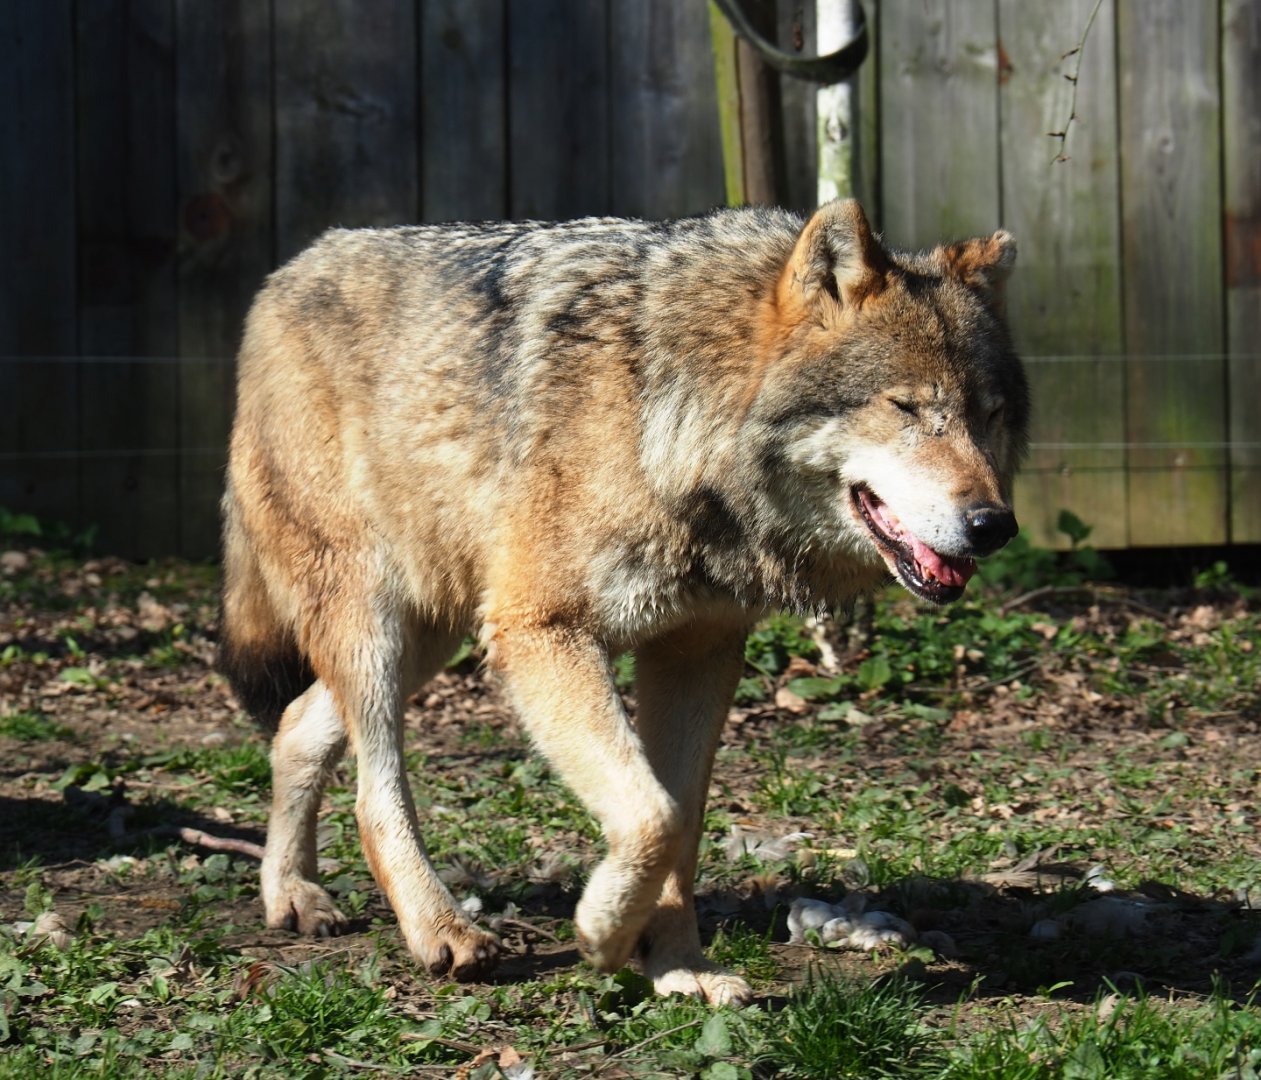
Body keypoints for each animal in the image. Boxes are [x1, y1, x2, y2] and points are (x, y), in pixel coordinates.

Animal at [219, 199, 1027, 1006]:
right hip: (379, 629)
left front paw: (677, 965)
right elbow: (651, 817)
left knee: (295, 726)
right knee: (373, 791)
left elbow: (683, 824)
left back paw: (290, 893)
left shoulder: (697, 652)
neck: (666, 421)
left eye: (989, 414)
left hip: (432, 633)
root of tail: (286, 274)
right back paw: (440, 929)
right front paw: (604, 933)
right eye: (905, 407)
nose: (995, 525)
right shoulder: (542, 631)